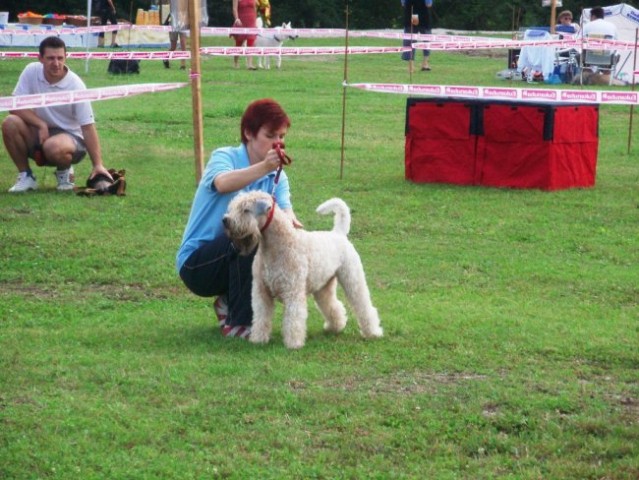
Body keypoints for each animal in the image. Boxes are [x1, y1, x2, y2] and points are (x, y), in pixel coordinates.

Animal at [222, 190, 382, 348]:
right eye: (233, 206)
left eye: (245, 209)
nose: (225, 220)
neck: (276, 245)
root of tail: (339, 233)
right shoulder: (261, 292)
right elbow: (261, 317)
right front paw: (258, 339)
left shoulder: (292, 290)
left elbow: (293, 318)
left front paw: (293, 344)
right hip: (323, 288)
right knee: (333, 306)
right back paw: (335, 326)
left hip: (352, 279)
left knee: (364, 306)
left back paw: (373, 332)